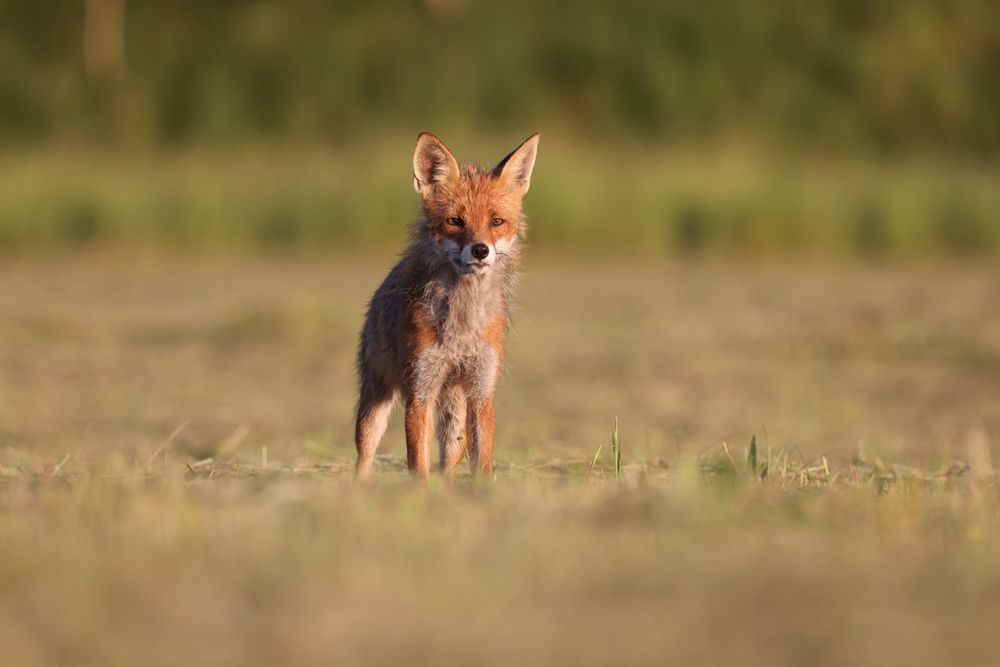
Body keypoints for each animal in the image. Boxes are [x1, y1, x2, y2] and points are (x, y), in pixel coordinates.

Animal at [354, 133, 540, 480]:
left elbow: (483, 463)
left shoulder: (481, 392)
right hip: (376, 400)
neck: (462, 329)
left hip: (455, 413)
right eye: (455, 221)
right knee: (364, 455)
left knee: (450, 462)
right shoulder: (420, 391)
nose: (480, 250)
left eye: (497, 222)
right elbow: (418, 465)